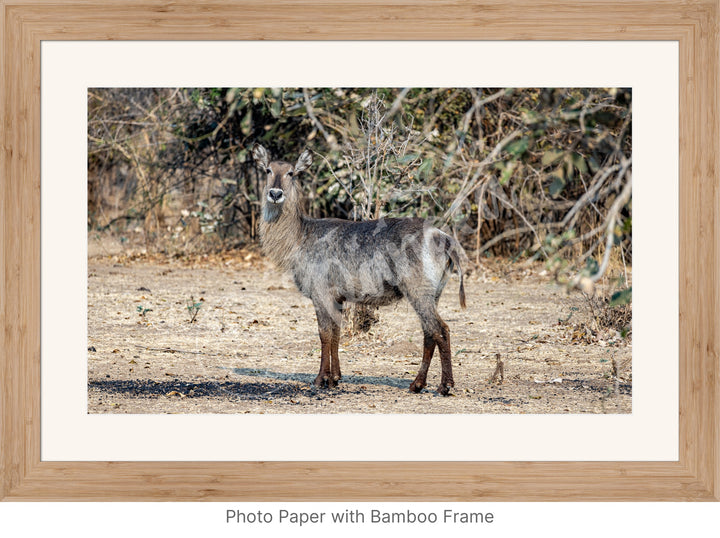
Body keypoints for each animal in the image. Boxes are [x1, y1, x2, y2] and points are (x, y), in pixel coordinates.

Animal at [253, 143, 466, 394]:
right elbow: (336, 333)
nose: (275, 193)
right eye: (267, 170)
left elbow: (324, 334)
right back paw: (417, 384)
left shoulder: (320, 292)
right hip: (434, 293)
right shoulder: (338, 297)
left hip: (418, 290)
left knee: (441, 329)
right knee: (429, 333)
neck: (300, 237)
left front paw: (320, 379)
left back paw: (445, 386)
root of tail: (444, 237)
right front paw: (335, 378)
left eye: (291, 172)